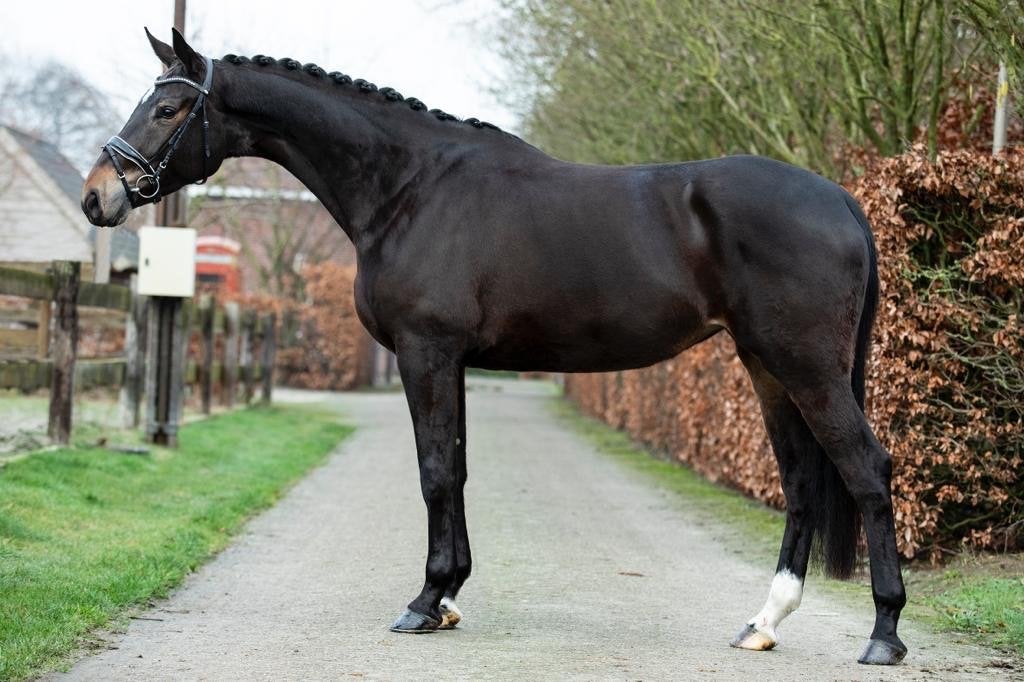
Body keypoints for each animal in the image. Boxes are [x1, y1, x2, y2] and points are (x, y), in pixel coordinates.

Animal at [82, 29, 907, 666]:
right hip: (767, 367)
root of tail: (842, 199)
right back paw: (764, 623)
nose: (98, 195)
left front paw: (424, 600)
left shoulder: (425, 352)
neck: (409, 188)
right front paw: (449, 595)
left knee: (867, 470)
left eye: (167, 106)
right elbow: (457, 470)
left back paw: (884, 633)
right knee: (800, 483)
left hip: (807, 367)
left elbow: (435, 473)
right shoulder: (452, 361)